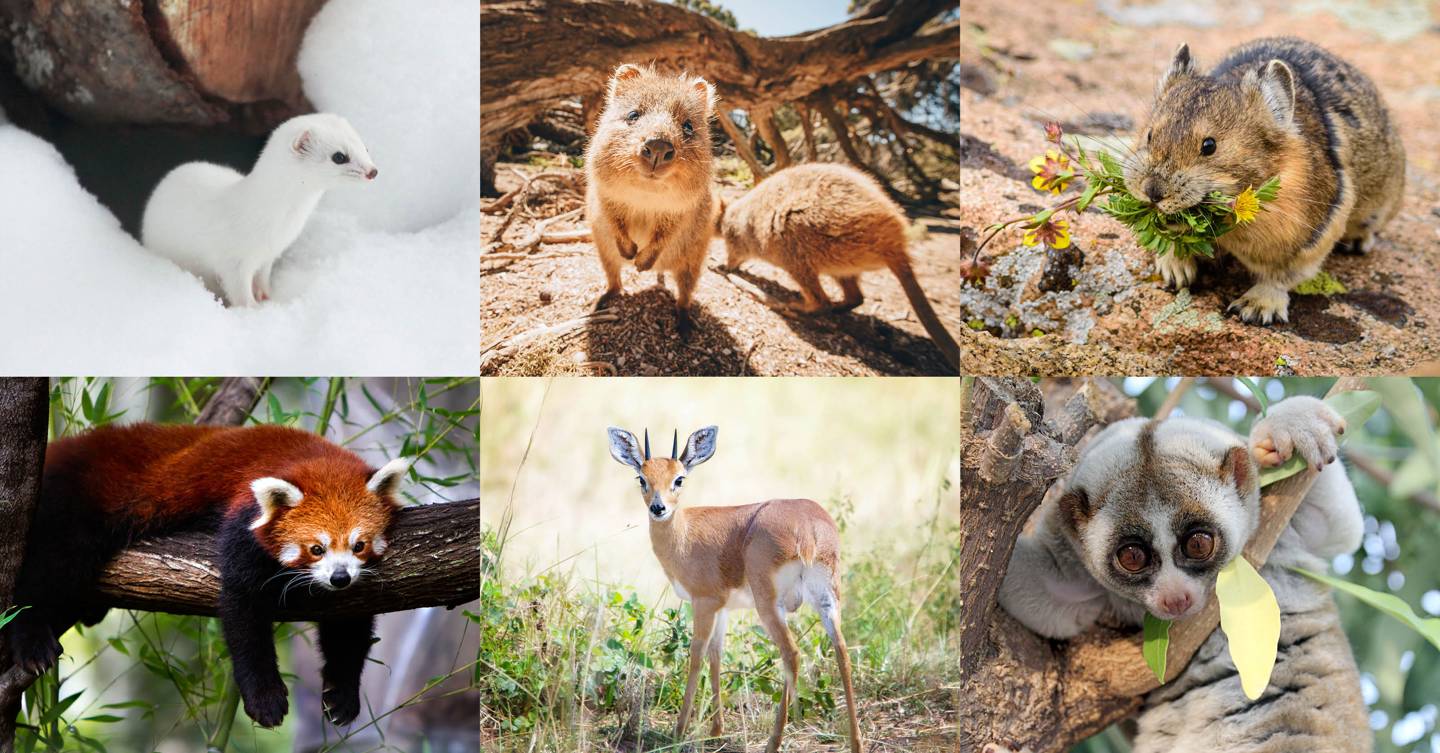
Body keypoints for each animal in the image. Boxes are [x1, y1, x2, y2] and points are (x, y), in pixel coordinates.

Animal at [8, 420, 411, 728]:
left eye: (358, 545)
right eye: (316, 548)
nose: (339, 578)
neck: (315, 457)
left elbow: (349, 626)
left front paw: (342, 694)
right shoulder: (242, 521)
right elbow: (243, 614)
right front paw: (265, 699)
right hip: (73, 504)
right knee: (49, 569)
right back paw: (29, 637)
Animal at [604, 423, 858, 753]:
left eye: (679, 478)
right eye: (642, 478)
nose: (658, 508)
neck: (684, 534)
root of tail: (809, 528)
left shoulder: (703, 602)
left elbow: (697, 655)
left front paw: (679, 731)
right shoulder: (722, 608)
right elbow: (716, 655)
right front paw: (716, 730)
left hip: (769, 604)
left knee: (792, 654)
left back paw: (773, 743)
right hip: (827, 598)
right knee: (842, 652)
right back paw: (856, 742)